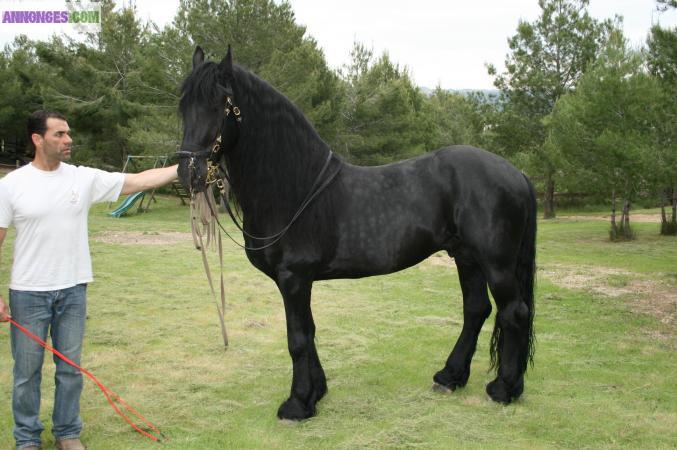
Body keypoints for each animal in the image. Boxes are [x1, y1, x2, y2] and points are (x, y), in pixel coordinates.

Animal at [177, 46, 537, 420]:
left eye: (220, 104)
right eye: (183, 105)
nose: (188, 173)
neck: (297, 188)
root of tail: (516, 173)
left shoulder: (294, 278)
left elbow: (298, 338)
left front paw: (297, 403)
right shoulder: (298, 282)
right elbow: (309, 331)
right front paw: (316, 392)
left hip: (496, 264)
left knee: (514, 313)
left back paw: (504, 388)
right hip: (466, 257)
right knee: (476, 310)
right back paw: (450, 376)